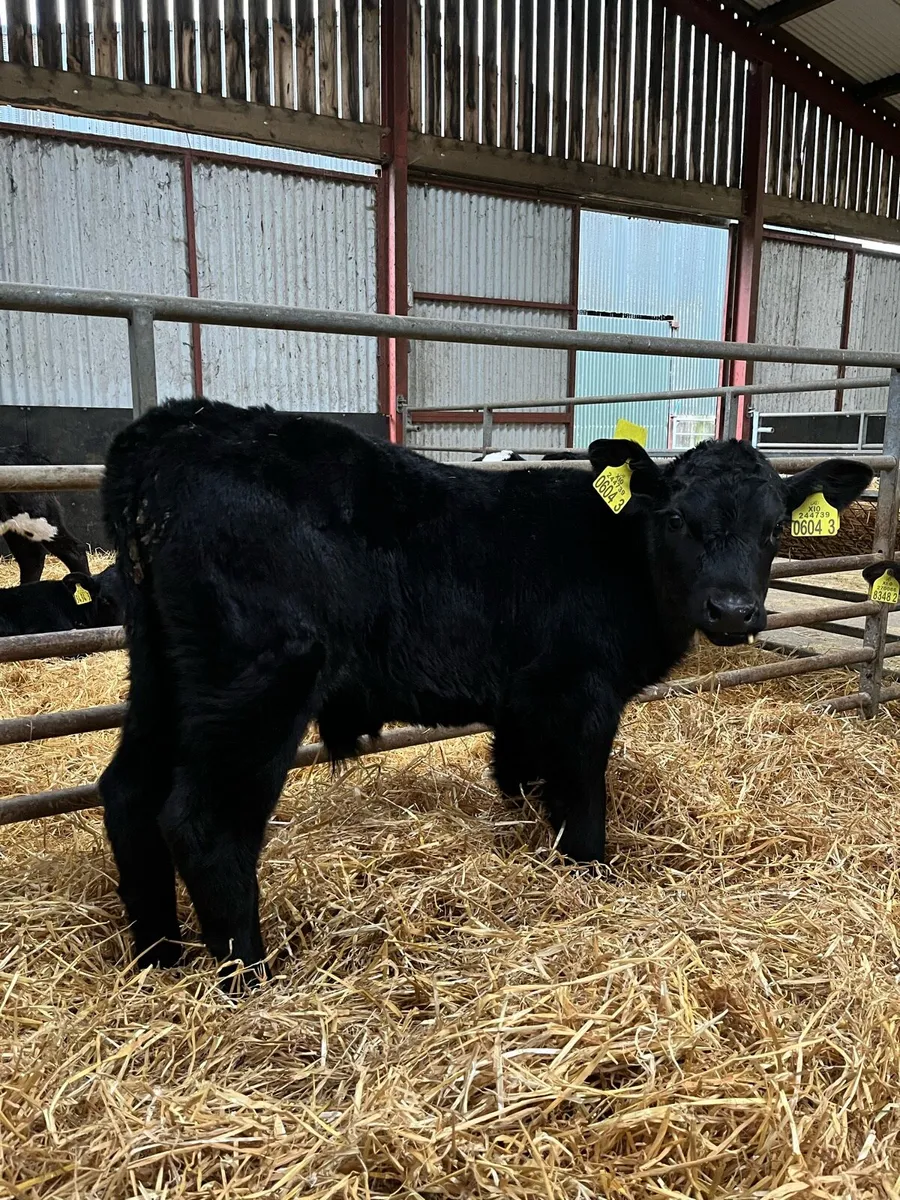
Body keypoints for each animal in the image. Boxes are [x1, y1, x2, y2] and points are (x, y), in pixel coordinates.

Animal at [98, 399, 871, 982]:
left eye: (775, 528)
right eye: (678, 519)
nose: (734, 610)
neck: (623, 552)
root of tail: (178, 425)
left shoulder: (524, 704)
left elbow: (521, 779)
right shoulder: (581, 694)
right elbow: (582, 801)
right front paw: (593, 878)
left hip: (164, 675)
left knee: (128, 793)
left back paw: (158, 959)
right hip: (257, 680)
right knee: (205, 824)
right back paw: (251, 980)